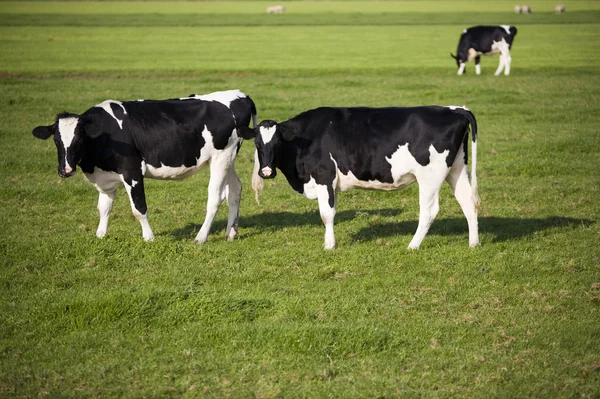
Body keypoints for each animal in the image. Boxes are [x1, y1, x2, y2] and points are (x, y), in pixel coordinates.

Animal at [32, 89, 258, 242]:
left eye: (79, 140)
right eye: (56, 141)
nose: (66, 170)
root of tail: (240, 95)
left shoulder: (131, 171)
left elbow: (138, 209)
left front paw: (149, 237)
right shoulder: (106, 177)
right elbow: (103, 207)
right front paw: (100, 235)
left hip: (222, 156)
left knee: (215, 197)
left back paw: (201, 237)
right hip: (227, 159)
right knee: (235, 189)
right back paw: (231, 233)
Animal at [238, 106, 478, 250]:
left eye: (278, 143)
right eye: (257, 144)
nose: (266, 172)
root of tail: (456, 110)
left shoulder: (324, 176)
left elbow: (326, 214)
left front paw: (329, 246)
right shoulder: (331, 183)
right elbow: (332, 212)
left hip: (430, 176)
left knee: (429, 210)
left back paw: (413, 245)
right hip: (456, 169)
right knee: (468, 202)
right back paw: (473, 243)